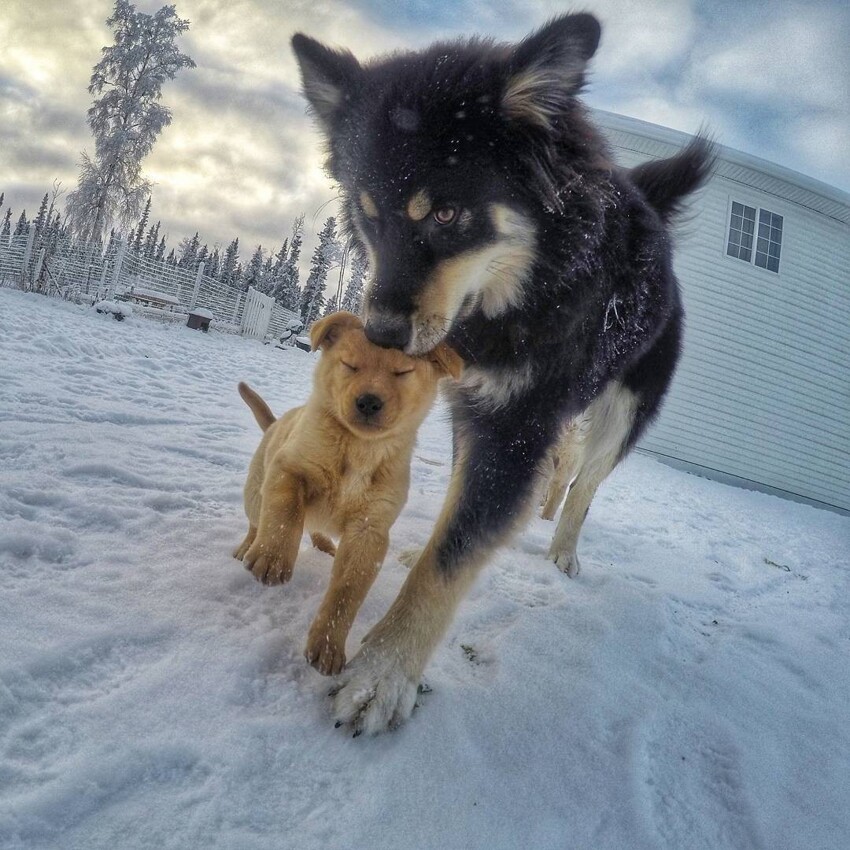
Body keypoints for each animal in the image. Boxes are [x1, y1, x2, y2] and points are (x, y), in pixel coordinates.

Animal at [232, 312, 460, 676]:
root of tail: (274, 423)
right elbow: (285, 514)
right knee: (259, 521)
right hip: (256, 491)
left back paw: (325, 544)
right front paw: (273, 559)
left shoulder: (370, 530)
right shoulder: (289, 469)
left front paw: (328, 646)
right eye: (350, 365)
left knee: (315, 528)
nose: (368, 401)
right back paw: (248, 548)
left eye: (402, 372)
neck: (359, 450)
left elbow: (347, 592)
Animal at [290, 9, 708, 732]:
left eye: (448, 213)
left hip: (623, 411)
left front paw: (383, 673)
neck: (528, 284)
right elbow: (456, 519)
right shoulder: (475, 404)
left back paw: (562, 546)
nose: (383, 335)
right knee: (562, 467)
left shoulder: (514, 425)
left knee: (586, 480)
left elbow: (452, 554)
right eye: (369, 215)